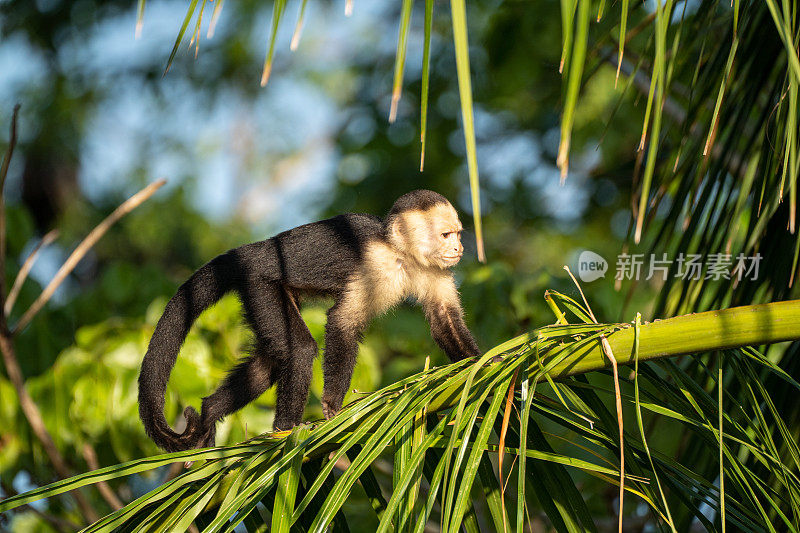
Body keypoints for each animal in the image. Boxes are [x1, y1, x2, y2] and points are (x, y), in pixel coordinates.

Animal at [138, 189, 478, 450]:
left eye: (457, 235)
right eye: (446, 235)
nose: (459, 247)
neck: (402, 252)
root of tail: (250, 251)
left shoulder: (435, 268)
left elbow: (444, 319)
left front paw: (478, 365)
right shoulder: (375, 263)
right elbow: (343, 322)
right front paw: (333, 406)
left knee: (267, 364)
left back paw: (210, 413)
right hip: (259, 282)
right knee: (298, 349)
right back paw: (284, 430)